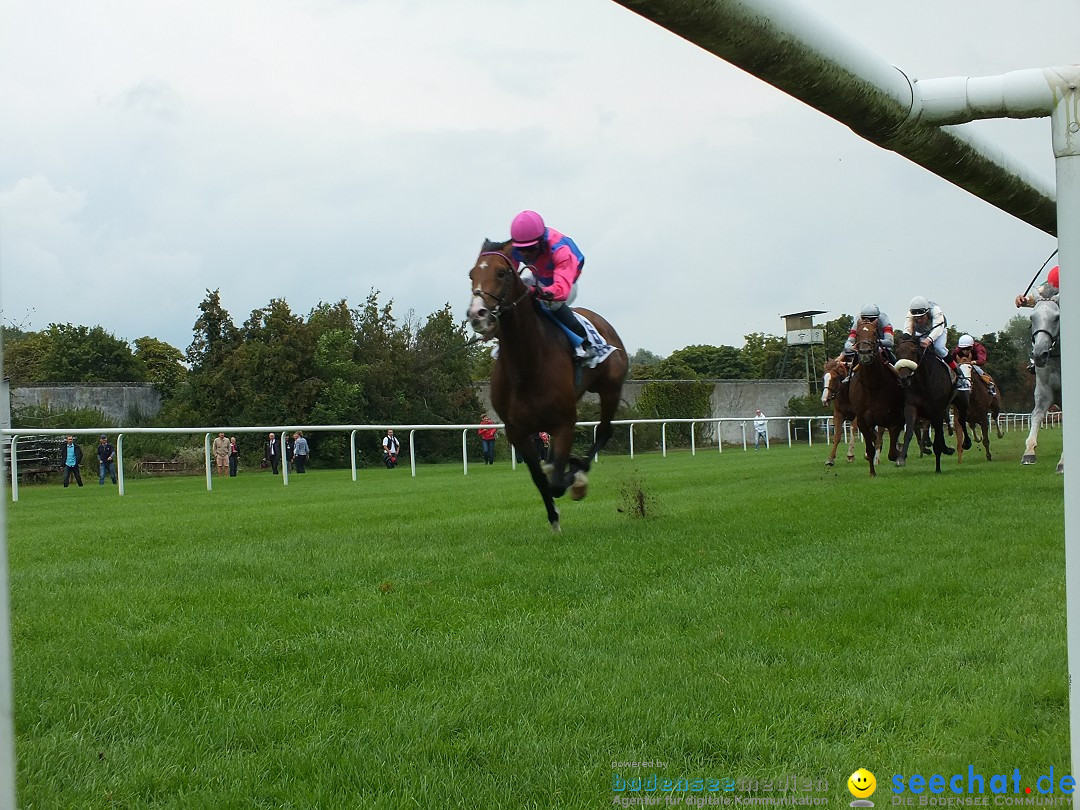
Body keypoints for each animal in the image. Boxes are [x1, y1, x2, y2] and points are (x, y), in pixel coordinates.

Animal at [466, 239, 630, 533]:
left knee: (604, 432)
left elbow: (555, 482)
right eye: (471, 274)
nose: (478, 314)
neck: (526, 364)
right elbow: (540, 477)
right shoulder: (517, 431)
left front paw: (574, 479)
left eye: (501, 273)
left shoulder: (563, 423)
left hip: (611, 388)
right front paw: (554, 518)